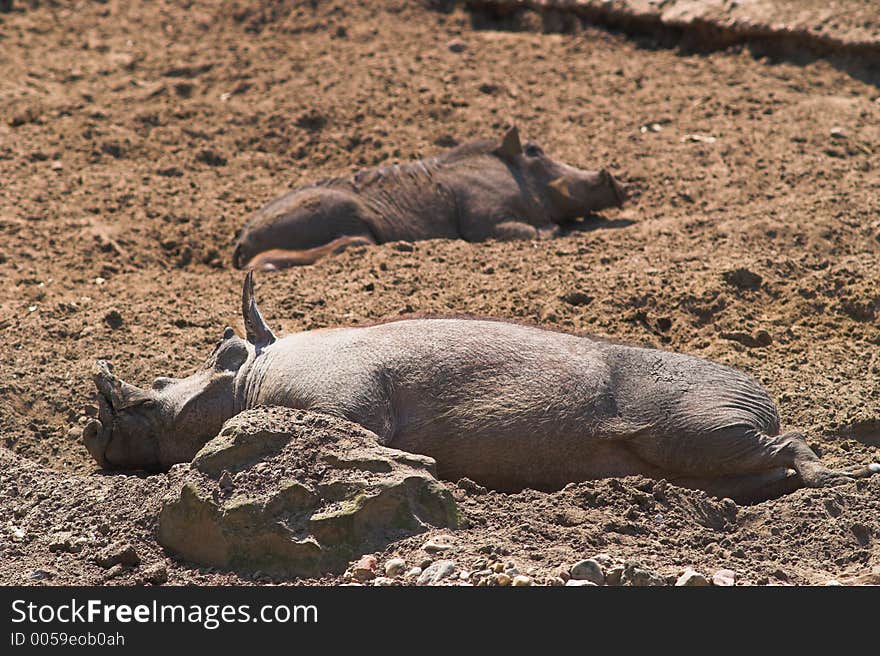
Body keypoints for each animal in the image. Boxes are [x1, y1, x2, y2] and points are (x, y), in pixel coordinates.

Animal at [81, 272, 872, 502]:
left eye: (154, 397)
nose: (92, 439)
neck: (248, 373)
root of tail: (762, 396)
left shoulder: (341, 403)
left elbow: (356, 435)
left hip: (698, 419)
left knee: (748, 445)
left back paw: (840, 476)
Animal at [230, 127, 628, 270]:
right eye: (534, 150)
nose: (618, 183)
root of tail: (241, 240)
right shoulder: (485, 222)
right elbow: (533, 232)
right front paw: (552, 231)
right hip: (342, 215)